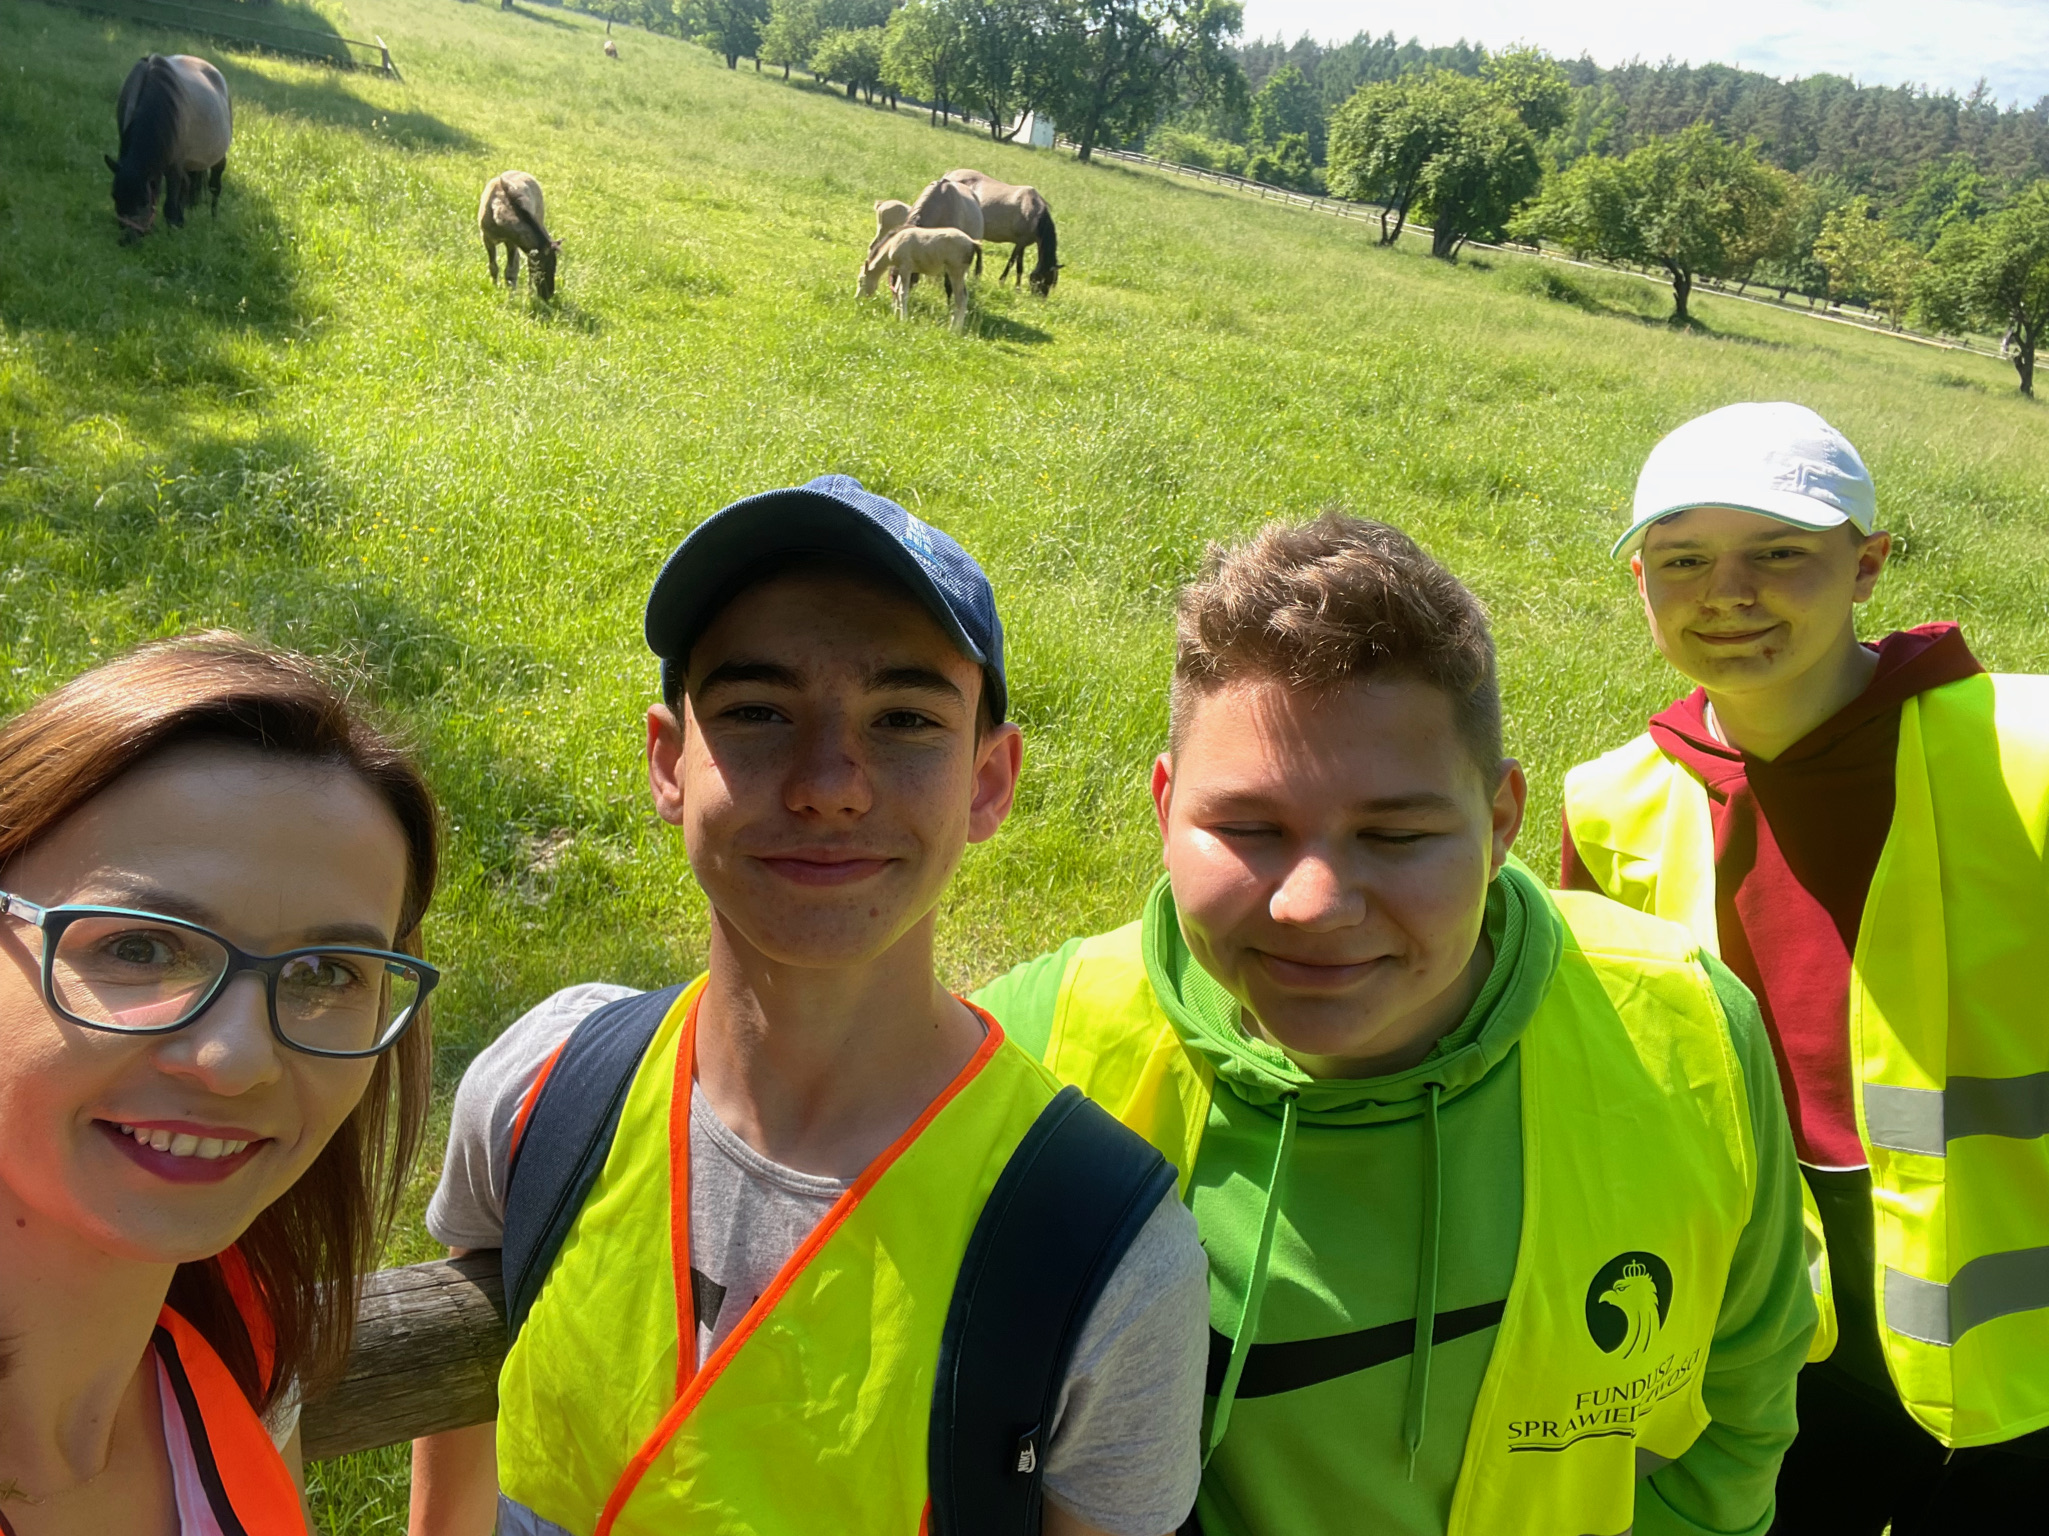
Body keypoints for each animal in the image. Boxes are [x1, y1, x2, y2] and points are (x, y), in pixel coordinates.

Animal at [106, 54, 232, 242]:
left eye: (143, 201)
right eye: (115, 196)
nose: (127, 241)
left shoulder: (173, 166)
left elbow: (169, 204)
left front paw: (172, 232)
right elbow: (159, 192)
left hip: (218, 158)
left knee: (215, 188)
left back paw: (213, 219)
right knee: (187, 185)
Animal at [478, 171, 562, 299]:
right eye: (546, 265)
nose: (548, 294)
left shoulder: (511, 242)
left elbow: (510, 271)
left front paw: (511, 296)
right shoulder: (487, 238)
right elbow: (493, 267)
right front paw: (495, 289)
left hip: (539, 219)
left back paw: (528, 292)